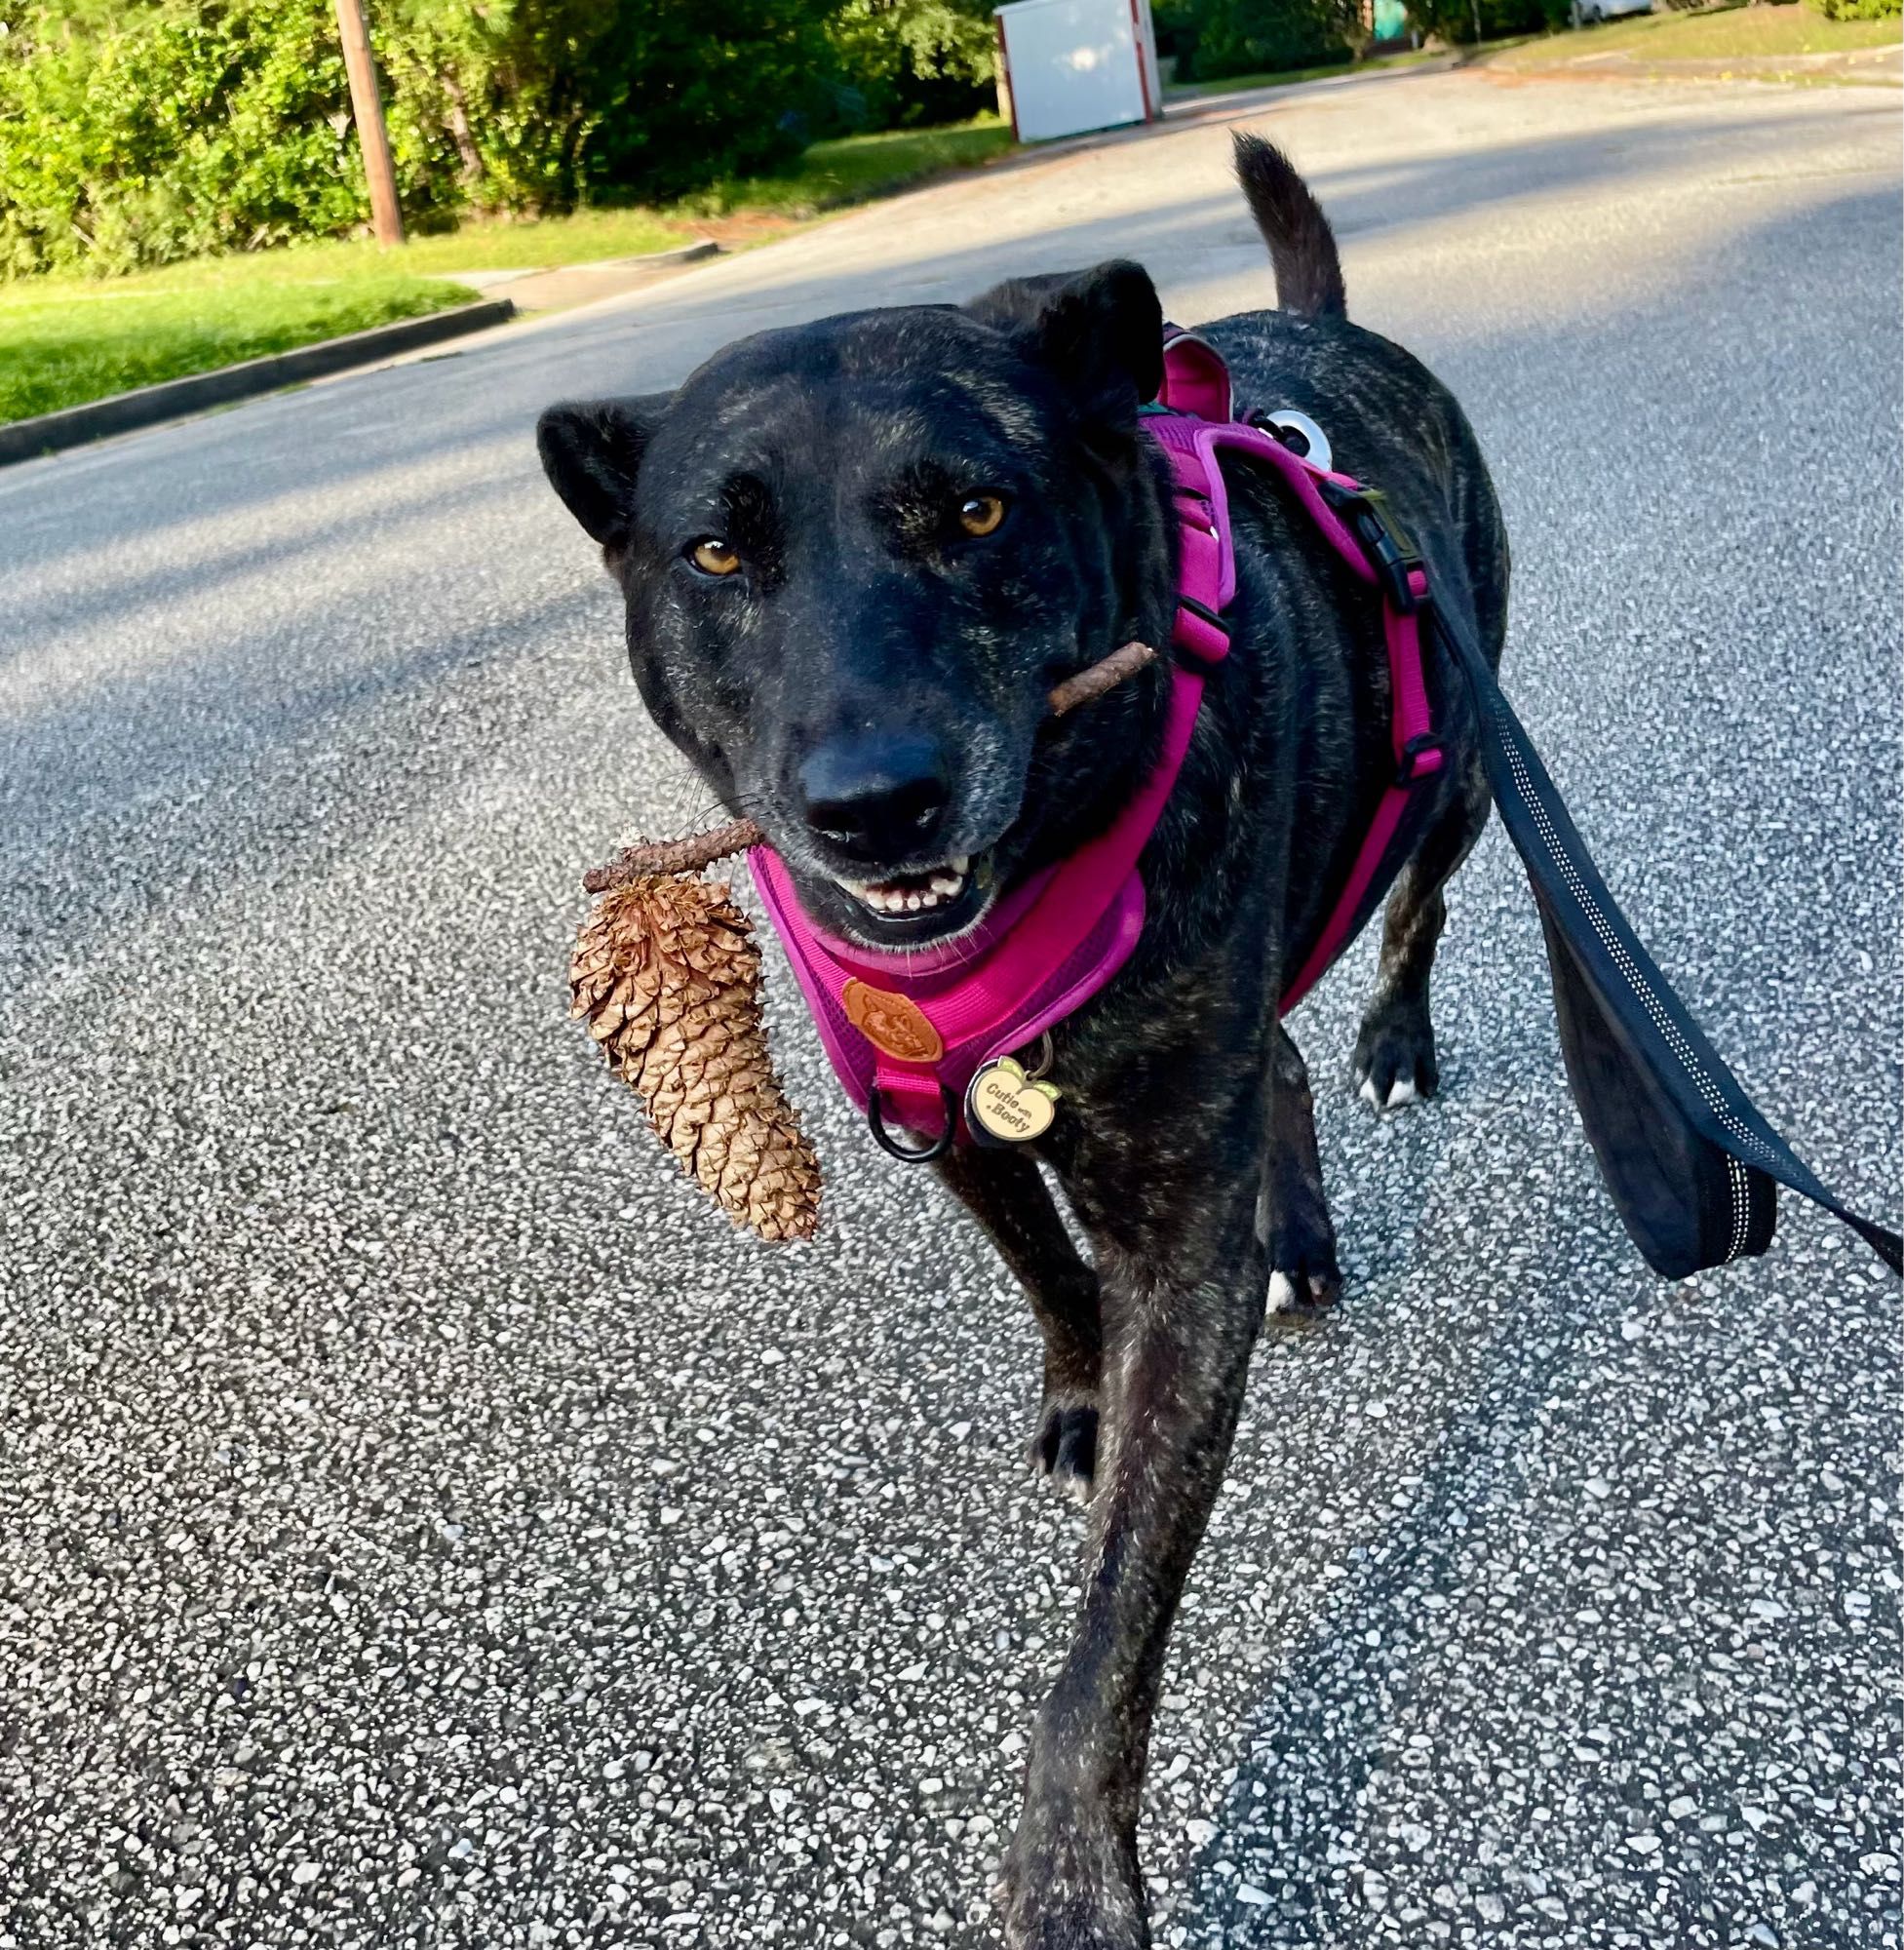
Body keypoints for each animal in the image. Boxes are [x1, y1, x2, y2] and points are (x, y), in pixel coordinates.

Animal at [542, 134, 1505, 1934]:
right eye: (716, 554)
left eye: (978, 509)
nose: (870, 805)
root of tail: (1313, 332)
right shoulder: (936, 1125)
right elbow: (1045, 1267)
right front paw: (1073, 1389)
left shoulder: (1180, 1272)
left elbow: (1110, 1631)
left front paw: (1068, 1876)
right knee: (1267, 1051)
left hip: (1461, 769)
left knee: (1407, 914)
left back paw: (1387, 1050)